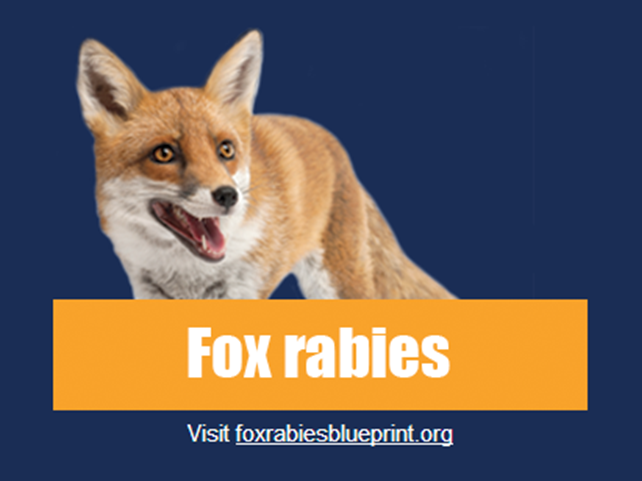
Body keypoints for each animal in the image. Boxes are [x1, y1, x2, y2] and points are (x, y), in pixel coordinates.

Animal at [77, 30, 455, 300]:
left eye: (225, 150)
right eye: (164, 154)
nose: (228, 195)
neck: (189, 277)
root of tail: (332, 142)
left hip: (340, 284)